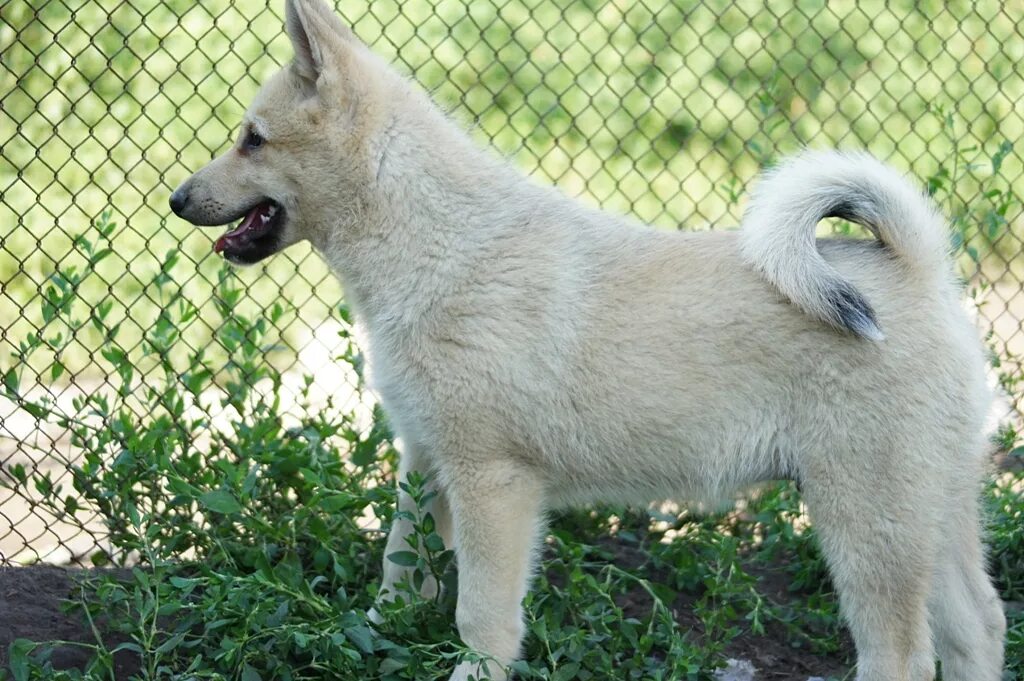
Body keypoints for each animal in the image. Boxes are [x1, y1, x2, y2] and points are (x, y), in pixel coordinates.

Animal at [172, 2, 1003, 675]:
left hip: (868, 524)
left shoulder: (491, 481)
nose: (178, 199)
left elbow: (481, 614)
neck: (436, 241)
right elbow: (399, 565)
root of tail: (917, 266)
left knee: (902, 654)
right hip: (933, 513)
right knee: (979, 628)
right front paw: (377, 633)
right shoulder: (424, 459)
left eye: (252, 140)